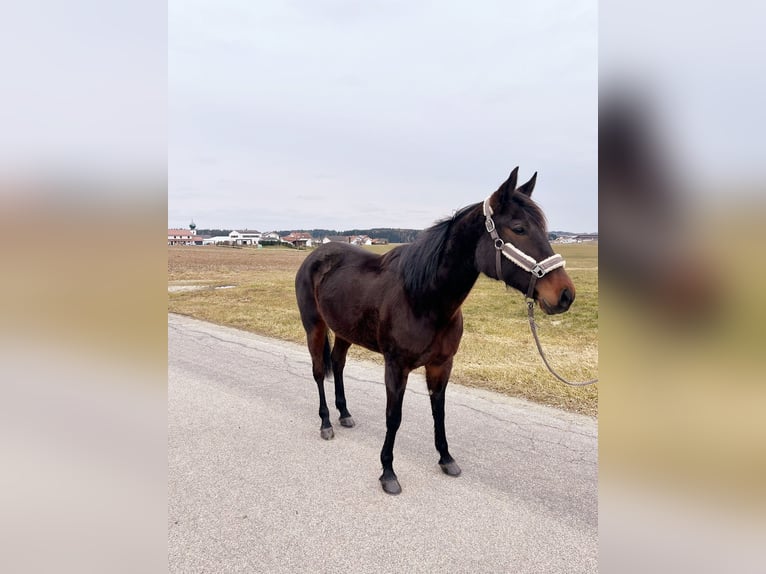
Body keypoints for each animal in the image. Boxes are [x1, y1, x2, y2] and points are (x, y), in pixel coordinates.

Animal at [294, 166, 576, 496]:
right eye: (518, 228)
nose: (565, 294)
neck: (423, 298)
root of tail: (317, 254)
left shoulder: (442, 365)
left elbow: (438, 412)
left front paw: (446, 458)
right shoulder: (396, 367)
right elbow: (394, 417)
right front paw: (388, 472)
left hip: (344, 332)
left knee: (337, 365)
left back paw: (344, 414)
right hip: (314, 326)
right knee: (318, 371)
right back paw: (326, 423)